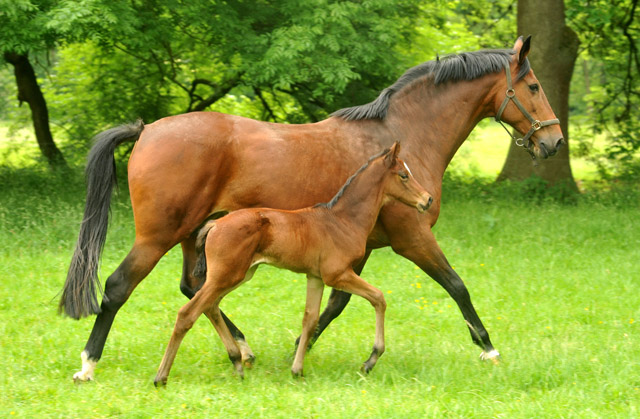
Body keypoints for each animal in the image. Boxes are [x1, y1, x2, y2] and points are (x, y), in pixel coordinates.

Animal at [154, 143, 430, 386]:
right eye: (404, 175)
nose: (427, 199)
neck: (343, 220)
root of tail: (215, 224)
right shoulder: (337, 275)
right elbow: (378, 298)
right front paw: (370, 360)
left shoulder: (315, 277)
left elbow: (309, 319)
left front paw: (297, 370)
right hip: (227, 275)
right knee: (188, 313)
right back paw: (161, 377)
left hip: (238, 274)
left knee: (210, 306)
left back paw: (237, 363)